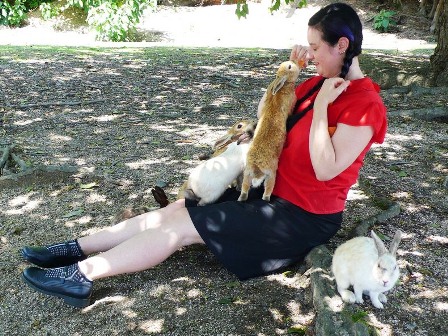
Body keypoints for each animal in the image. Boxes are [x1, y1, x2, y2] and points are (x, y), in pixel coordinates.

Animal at [240, 60, 300, 201]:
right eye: (290, 66)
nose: (295, 62)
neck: (282, 86)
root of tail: (257, 166)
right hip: (272, 174)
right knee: (268, 188)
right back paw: (266, 199)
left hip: (247, 173)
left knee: (244, 187)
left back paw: (242, 198)